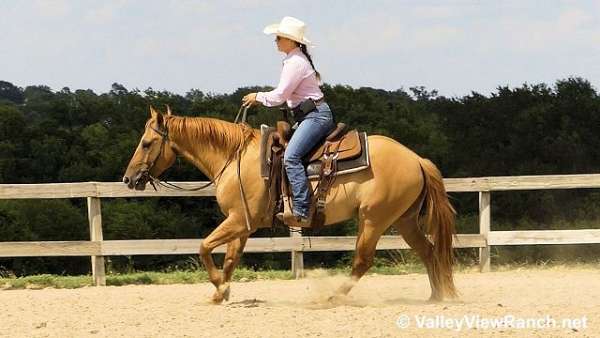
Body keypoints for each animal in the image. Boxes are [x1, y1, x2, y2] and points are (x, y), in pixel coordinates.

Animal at [123, 106, 460, 304]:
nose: (129, 178)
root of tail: (416, 158)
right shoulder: (242, 224)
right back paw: (437, 297)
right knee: (429, 251)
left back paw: (333, 297)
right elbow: (230, 258)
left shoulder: (237, 220)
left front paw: (219, 286)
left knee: (363, 261)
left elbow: (204, 246)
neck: (234, 156)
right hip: (404, 220)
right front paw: (221, 293)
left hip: (373, 220)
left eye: (146, 143)